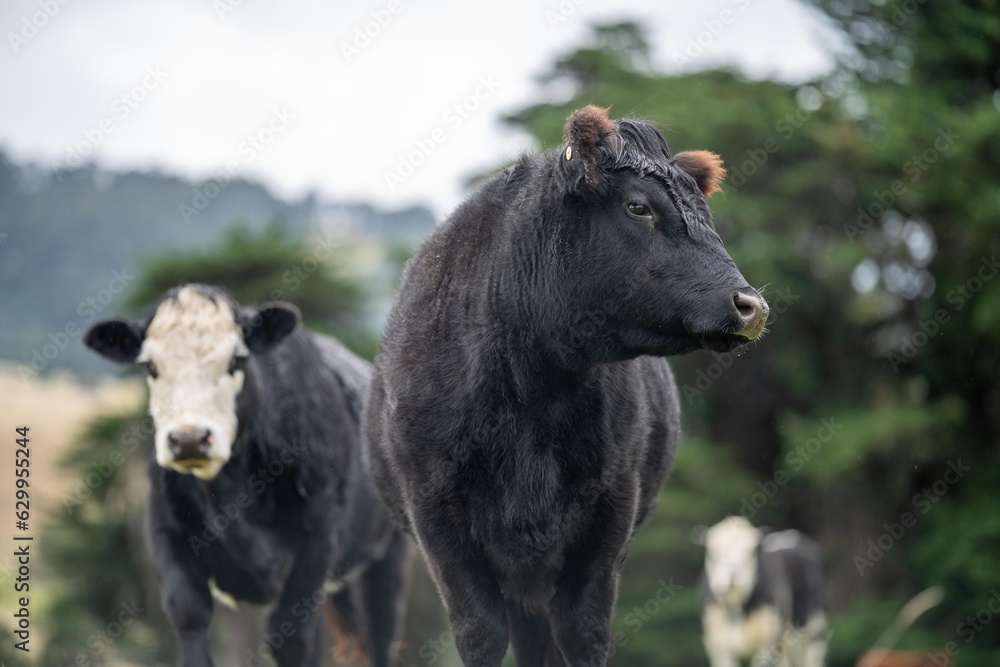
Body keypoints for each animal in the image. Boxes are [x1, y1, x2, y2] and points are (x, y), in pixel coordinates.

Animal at [85, 286, 410, 667]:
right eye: (150, 366)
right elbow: (190, 619)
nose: (189, 438)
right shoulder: (167, 535)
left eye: (235, 361)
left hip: (388, 553)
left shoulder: (318, 538)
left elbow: (289, 638)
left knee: (380, 630)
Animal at [364, 107, 768, 664]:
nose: (751, 305)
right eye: (638, 206)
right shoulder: (435, 515)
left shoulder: (612, 509)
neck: (530, 394)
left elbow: (583, 629)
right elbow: (479, 631)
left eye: (703, 210)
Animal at [696, 516, 828, 667]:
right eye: (714, 553)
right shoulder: (717, 647)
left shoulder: (768, 643)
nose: (733, 575)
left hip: (815, 629)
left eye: (751, 552)